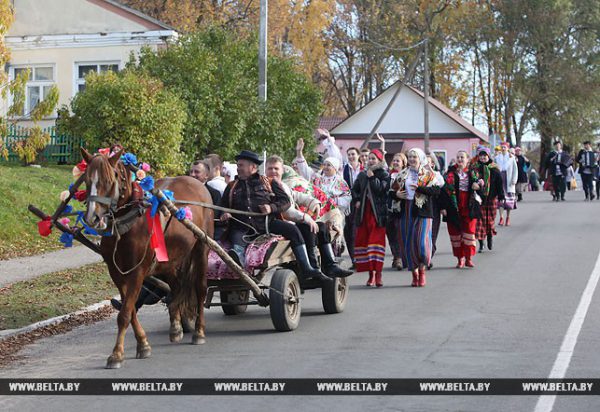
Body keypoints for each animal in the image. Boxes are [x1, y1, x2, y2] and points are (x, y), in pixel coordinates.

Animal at [78, 149, 212, 370]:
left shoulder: (137, 272)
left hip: (202, 248)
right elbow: (130, 308)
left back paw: (199, 331)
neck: (128, 224)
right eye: (87, 180)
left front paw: (116, 354)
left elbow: (124, 313)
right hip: (170, 260)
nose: (92, 218)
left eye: (109, 180)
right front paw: (142, 344)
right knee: (175, 287)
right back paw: (176, 327)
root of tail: (197, 183)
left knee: (200, 289)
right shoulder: (116, 273)